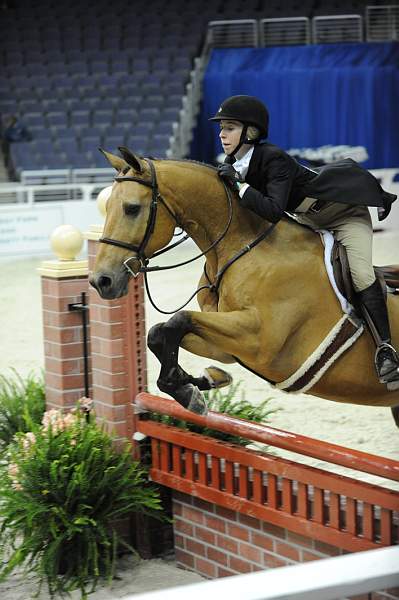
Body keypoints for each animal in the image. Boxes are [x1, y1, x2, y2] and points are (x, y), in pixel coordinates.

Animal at [89, 147, 399, 424]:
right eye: (108, 207)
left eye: (131, 209)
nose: (101, 281)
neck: (243, 246)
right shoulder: (229, 348)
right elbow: (159, 332)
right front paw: (203, 381)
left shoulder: (260, 342)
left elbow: (179, 319)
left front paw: (188, 390)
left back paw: (388, 363)